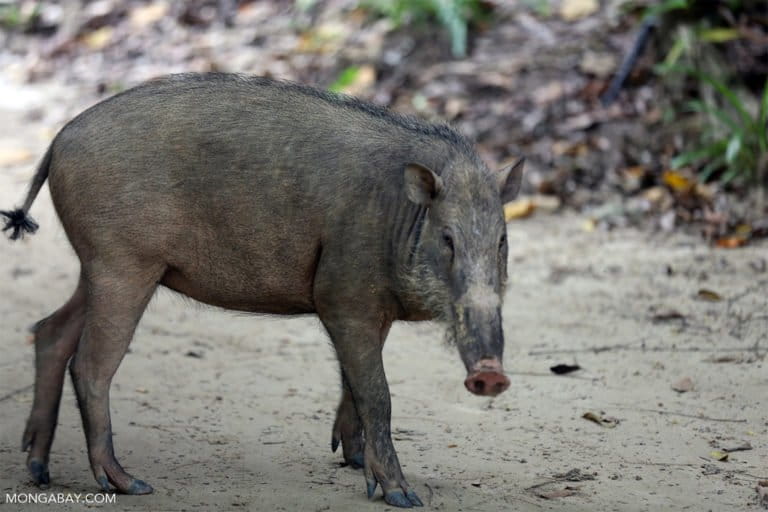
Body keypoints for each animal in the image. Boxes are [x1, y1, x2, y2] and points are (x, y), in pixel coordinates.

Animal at [1, 73, 520, 508]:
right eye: (447, 239)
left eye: (501, 241)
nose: (491, 375)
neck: (402, 215)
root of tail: (58, 142)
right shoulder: (342, 297)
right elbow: (377, 393)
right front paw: (401, 496)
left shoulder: (371, 309)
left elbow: (354, 385)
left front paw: (352, 462)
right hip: (121, 265)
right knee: (89, 364)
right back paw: (128, 484)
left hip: (96, 268)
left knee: (49, 330)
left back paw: (39, 471)